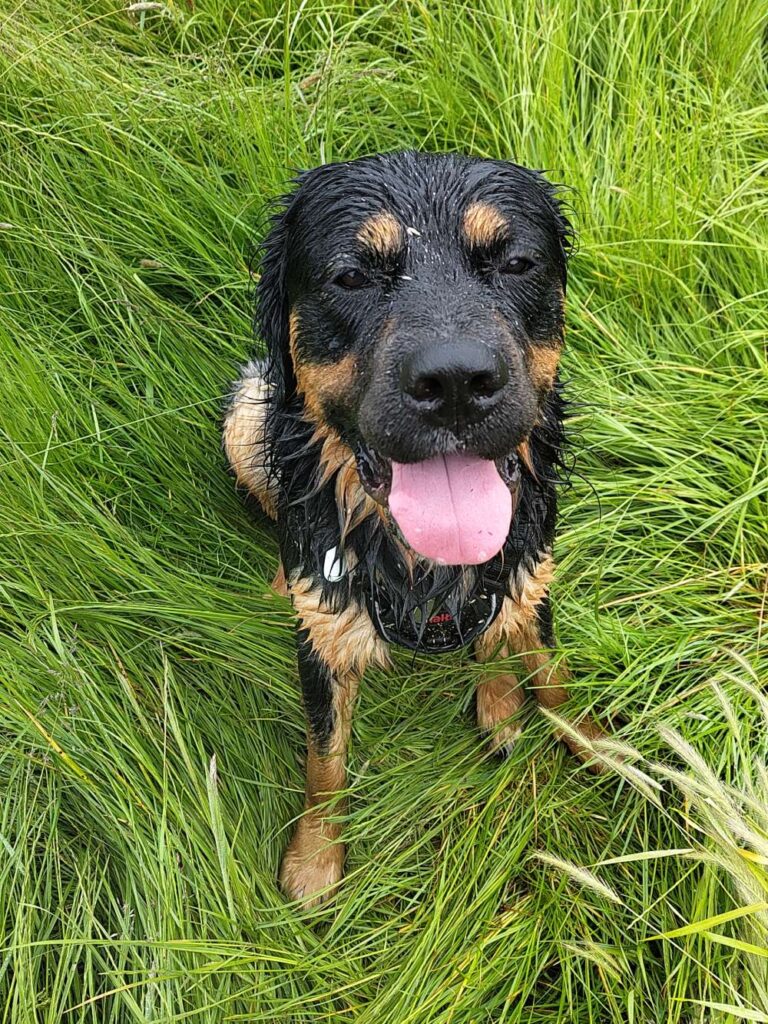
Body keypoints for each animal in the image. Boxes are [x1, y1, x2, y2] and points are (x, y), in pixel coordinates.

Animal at [222, 149, 606, 905]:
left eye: (515, 263)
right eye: (350, 276)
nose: (456, 381)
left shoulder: (529, 570)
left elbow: (548, 672)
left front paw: (597, 743)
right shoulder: (325, 633)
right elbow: (325, 755)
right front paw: (316, 858)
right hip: (247, 412)